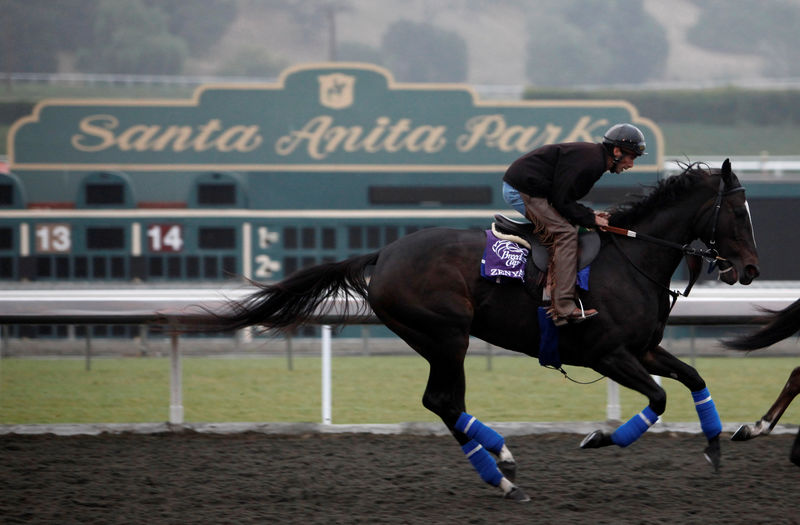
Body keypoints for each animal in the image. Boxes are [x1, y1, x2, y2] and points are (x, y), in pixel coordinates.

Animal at [192, 159, 756, 500]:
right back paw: (502, 468)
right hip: (447, 335)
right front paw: (599, 438)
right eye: (737, 212)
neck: (632, 260)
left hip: (433, 339)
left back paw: (501, 464)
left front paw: (714, 446)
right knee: (442, 401)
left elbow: (695, 379)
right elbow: (658, 399)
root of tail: (384, 252)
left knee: (445, 404)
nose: (749, 269)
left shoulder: (645, 349)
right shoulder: (607, 353)